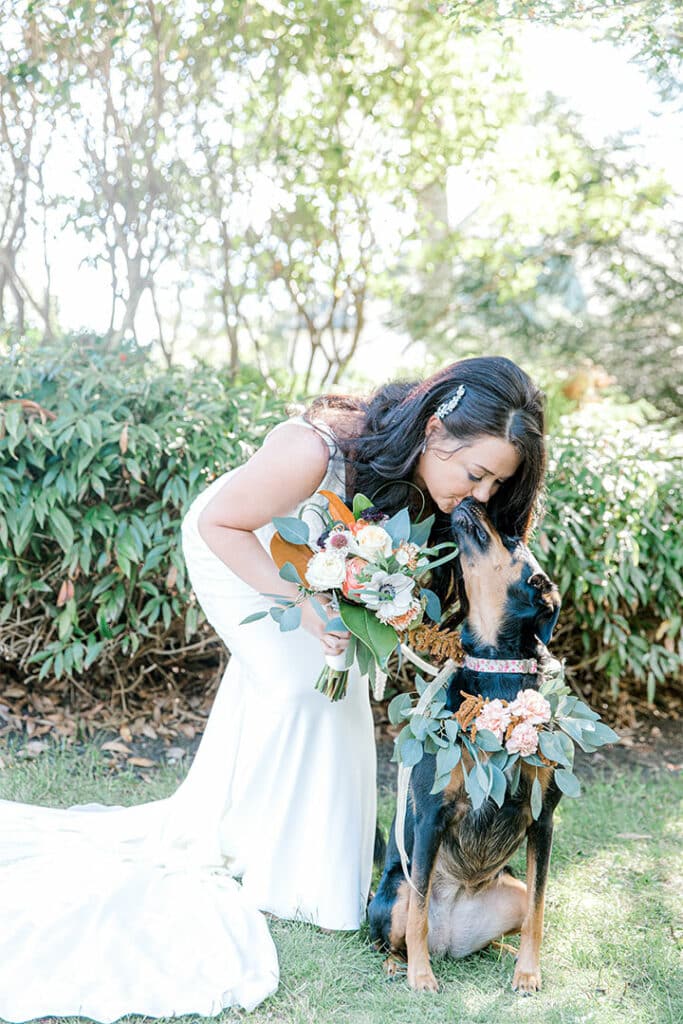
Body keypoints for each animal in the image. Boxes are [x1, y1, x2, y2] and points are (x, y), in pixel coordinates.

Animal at [370, 499, 565, 995]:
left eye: (512, 538)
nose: (472, 502)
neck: (497, 670)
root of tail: (452, 942)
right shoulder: (432, 813)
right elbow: (419, 914)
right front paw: (421, 978)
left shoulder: (543, 819)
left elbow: (539, 910)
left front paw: (528, 973)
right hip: (392, 892)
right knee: (394, 935)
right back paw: (401, 966)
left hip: (510, 892)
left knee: (513, 921)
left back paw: (506, 954)